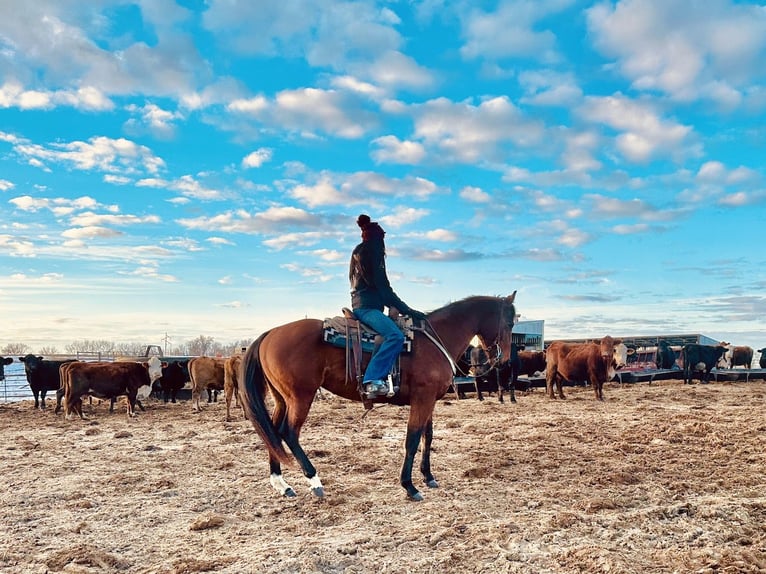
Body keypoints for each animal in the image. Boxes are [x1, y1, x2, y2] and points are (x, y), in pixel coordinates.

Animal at [239, 293, 517, 502]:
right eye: (510, 323)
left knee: (273, 432)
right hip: (300, 397)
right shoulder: (422, 399)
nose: (503, 360)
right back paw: (314, 481)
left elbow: (427, 437)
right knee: (288, 433)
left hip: (282, 399)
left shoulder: (429, 401)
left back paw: (282, 484)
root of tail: (270, 334)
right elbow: (412, 440)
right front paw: (409, 486)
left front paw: (428, 477)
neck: (435, 340)